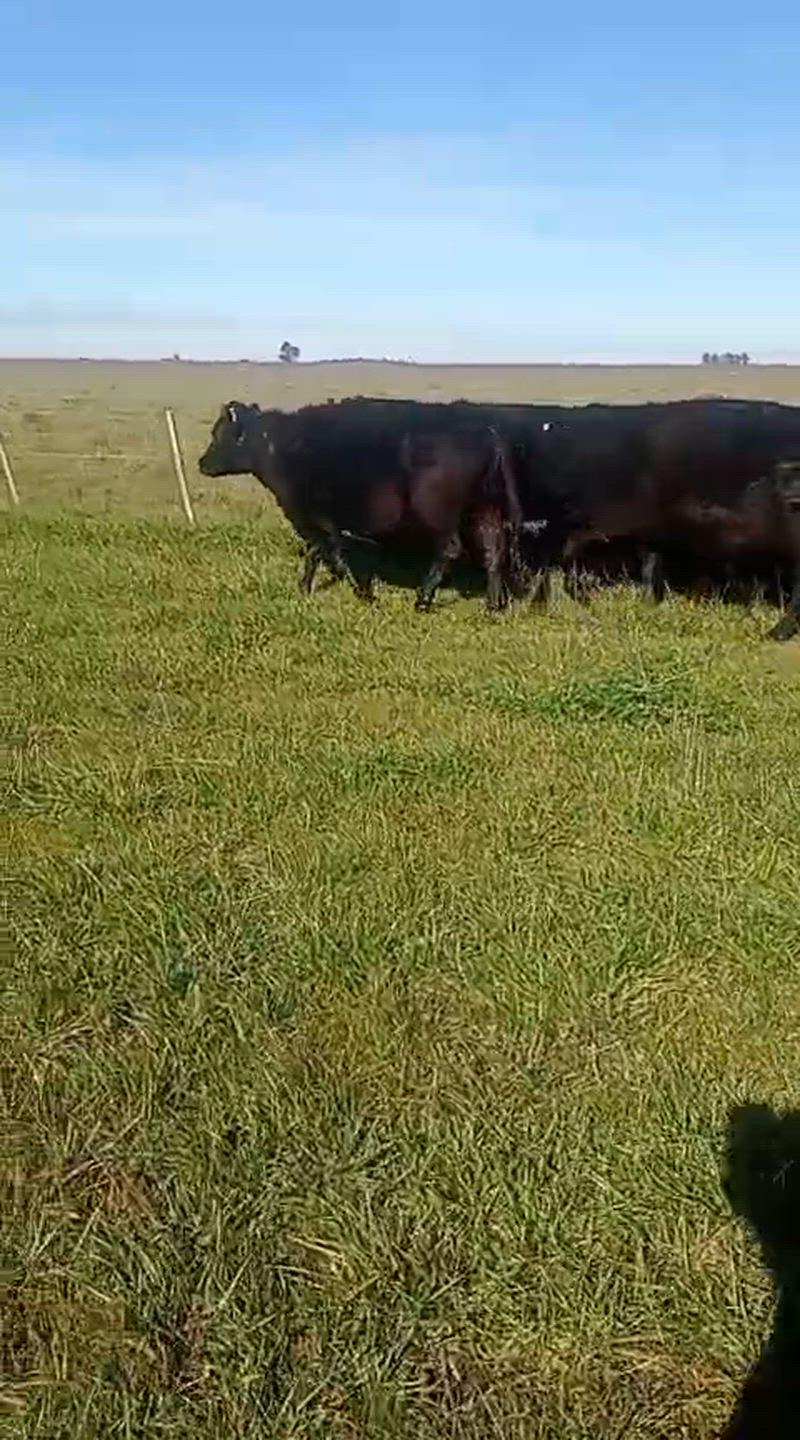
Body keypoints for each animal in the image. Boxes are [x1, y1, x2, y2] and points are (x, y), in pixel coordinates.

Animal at [198, 399, 527, 611]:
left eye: (219, 434)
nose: (202, 463)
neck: (282, 446)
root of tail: (486, 432)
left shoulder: (316, 519)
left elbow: (329, 554)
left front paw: (361, 594)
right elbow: (321, 554)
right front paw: (308, 588)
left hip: (440, 514)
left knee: (450, 549)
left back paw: (423, 599)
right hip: (485, 509)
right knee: (494, 551)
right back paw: (492, 605)